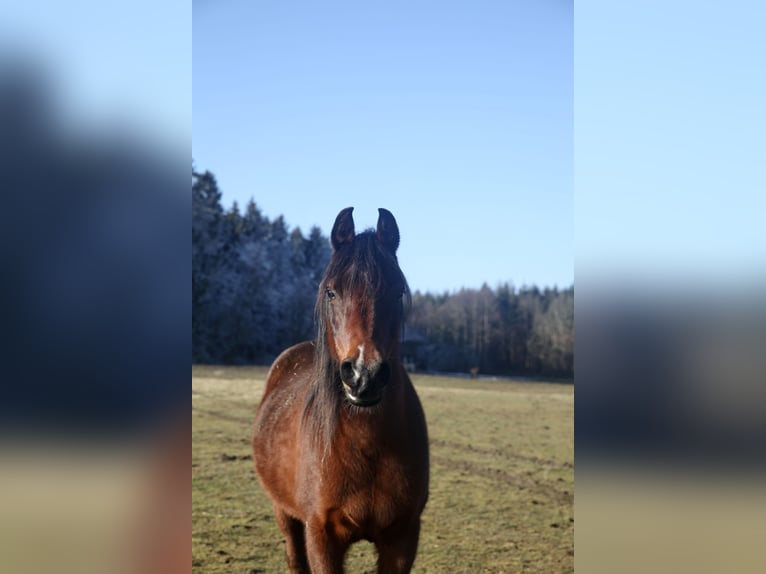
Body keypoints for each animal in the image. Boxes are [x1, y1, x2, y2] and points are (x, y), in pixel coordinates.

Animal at [252, 207, 429, 574]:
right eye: (332, 292)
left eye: (397, 291)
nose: (365, 374)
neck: (367, 444)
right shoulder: (322, 535)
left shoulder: (402, 538)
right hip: (285, 514)